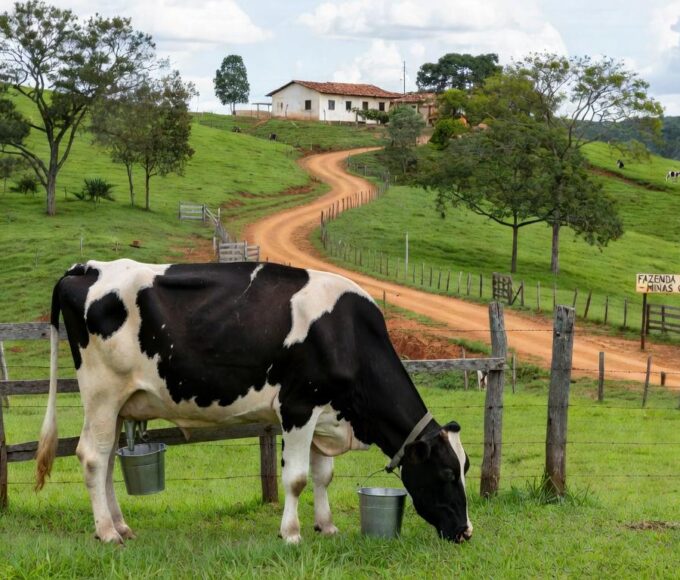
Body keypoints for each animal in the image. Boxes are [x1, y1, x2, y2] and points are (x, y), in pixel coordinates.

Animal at [36, 259, 472, 545]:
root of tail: (87, 267)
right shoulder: (298, 406)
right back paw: (107, 533)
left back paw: (121, 525)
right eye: (447, 473)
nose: (466, 532)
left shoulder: (325, 413)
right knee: (92, 457)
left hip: (118, 403)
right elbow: (296, 478)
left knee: (108, 461)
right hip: (101, 393)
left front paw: (327, 526)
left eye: (465, 468)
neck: (346, 334)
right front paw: (292, 534)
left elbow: (323, 475)